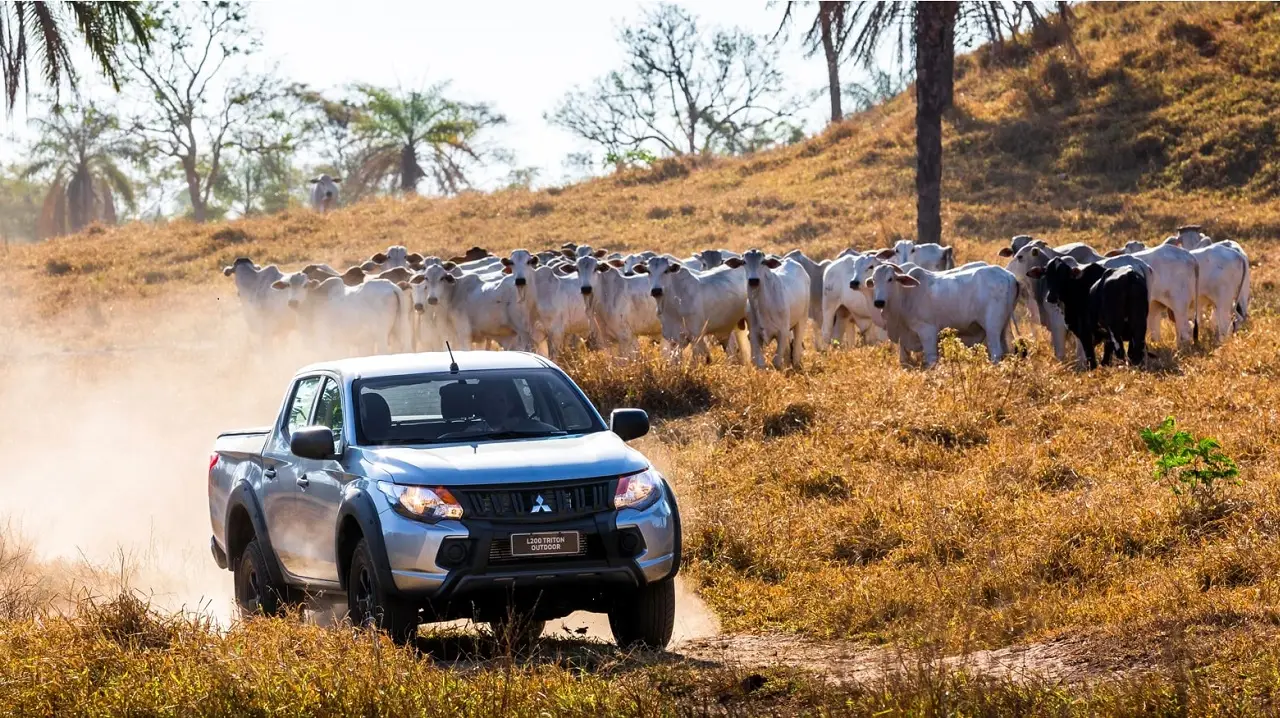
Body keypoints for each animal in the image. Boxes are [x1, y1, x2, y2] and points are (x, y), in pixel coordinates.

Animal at [870, 259, 1018, 366]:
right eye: (874, 280)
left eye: (890, 279)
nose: (879, 302)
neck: (906, 295)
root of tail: (1009, 276)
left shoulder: (927, 332)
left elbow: (931, 360)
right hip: (1003, 328)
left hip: (992, 327)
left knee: (996, 353)